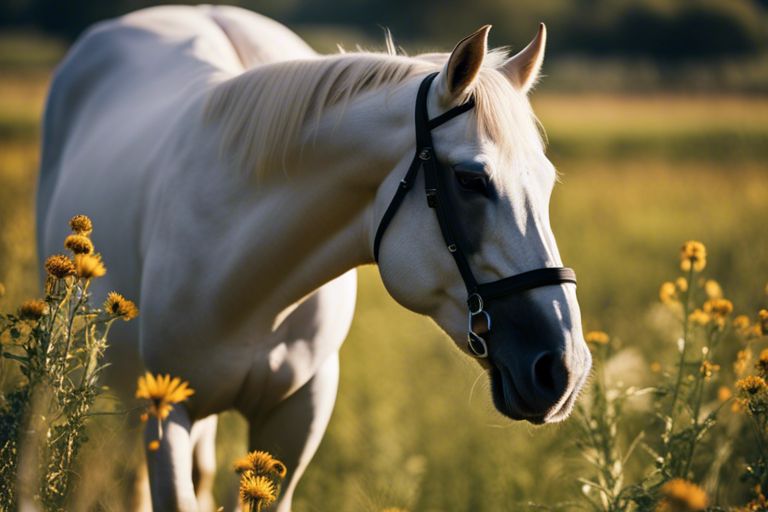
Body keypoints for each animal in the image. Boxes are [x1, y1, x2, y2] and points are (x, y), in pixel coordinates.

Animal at [36, 5, 592, 510]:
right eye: (471, 180)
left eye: (547, 181)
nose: (565, 368)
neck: (250, 280)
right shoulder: (166, 413)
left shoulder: (296, 417)